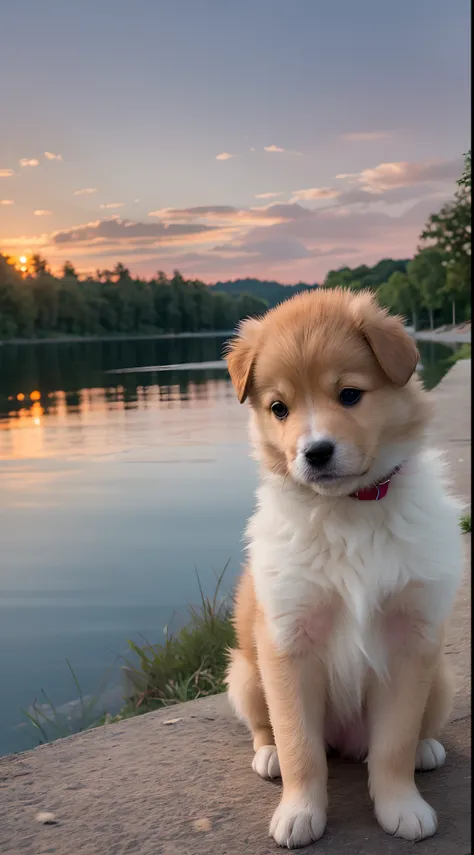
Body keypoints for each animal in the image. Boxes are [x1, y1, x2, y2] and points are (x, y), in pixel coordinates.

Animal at [224, 290, 462, 848]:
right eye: (279, 409)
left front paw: (401, 806)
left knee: (407, 736)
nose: (315, 452)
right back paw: (267, 755)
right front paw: (298, 812)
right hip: (243, 674)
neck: (349, 508)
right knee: (268, 729)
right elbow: (300, 746)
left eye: (350, 395)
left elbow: (394, 743)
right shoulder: (287, 642)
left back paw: (426, 751)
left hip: (442, 677)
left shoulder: (410, 642)